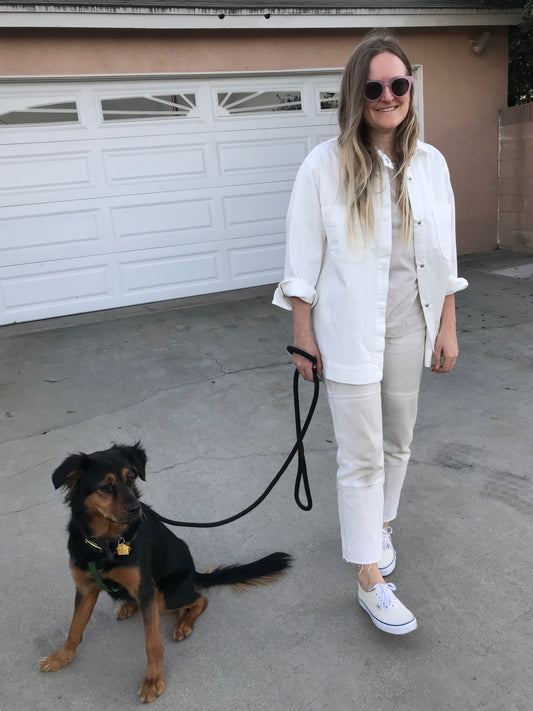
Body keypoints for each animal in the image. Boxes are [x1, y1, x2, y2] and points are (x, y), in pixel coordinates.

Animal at [39, 443, 291, 703]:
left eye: (131, 478)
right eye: (105, 488)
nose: (136, 509)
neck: (107, 543)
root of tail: (194, 573)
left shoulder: (146, 590)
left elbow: (153, 643)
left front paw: (153, 680)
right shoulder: (86, 589)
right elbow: (74, 629)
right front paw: (60, 657)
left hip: (164, 596)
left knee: (201, 599)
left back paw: (183, 624)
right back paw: (129, 605)